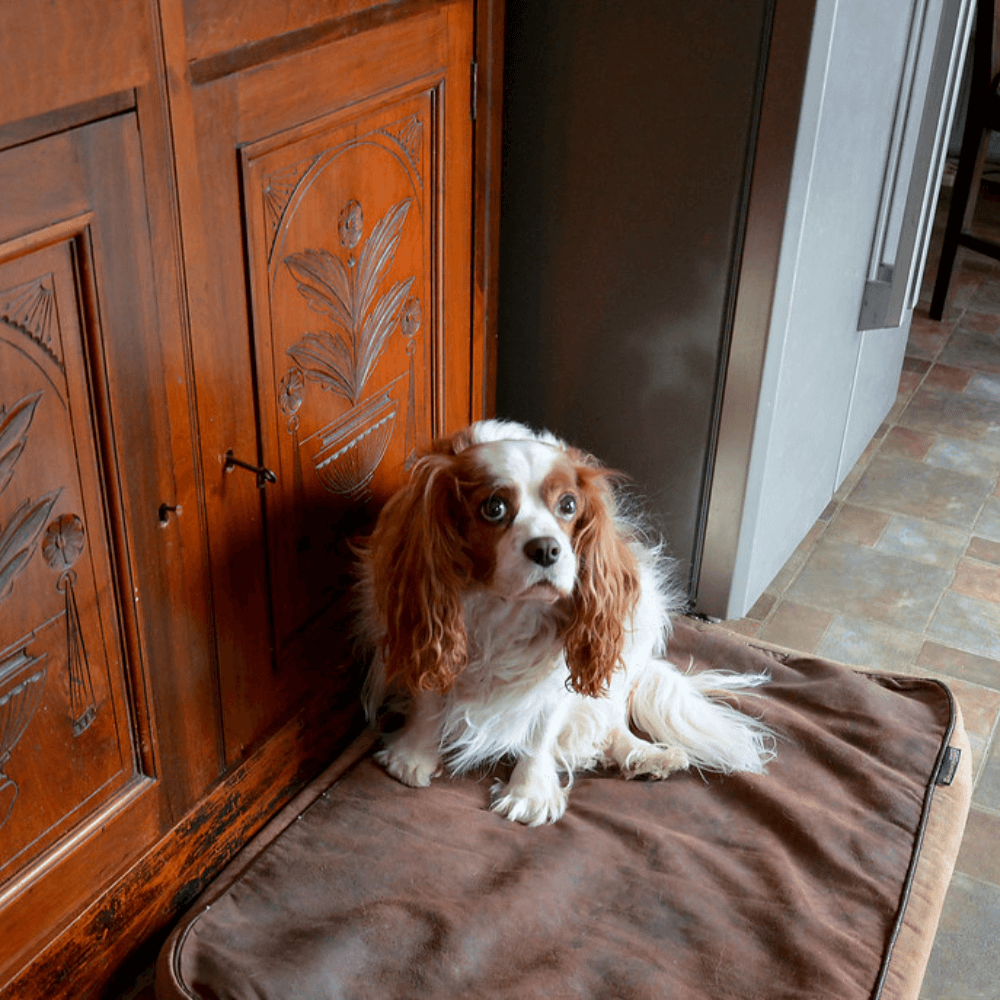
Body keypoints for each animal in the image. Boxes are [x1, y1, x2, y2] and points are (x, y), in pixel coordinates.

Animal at [356, 418, 768, 824]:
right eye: (494, 507)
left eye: (568, 505)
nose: (546, 549)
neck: (505, 608)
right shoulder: (425, 628)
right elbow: (429, 695)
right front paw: (413, 756)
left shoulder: (560, 669)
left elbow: (543, 728)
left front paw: (529, 792)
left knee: (611, 718)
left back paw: (645, 756)